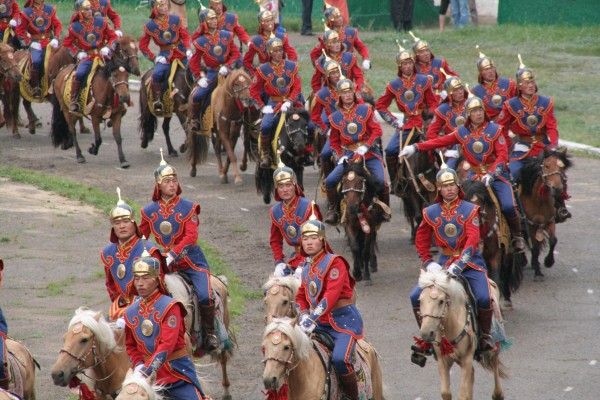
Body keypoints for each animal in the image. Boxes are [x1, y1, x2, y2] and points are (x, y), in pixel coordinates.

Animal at [420, 270, 508, 400]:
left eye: (441, 301)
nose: (426, 333)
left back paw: (498, 394)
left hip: (495, 341)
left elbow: (461, 395)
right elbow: (446, 393)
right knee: (472, 374)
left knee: (495, 361)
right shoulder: (443, 360)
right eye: (420, 301)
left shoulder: (467, 357)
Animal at [462, 180, 524, 310]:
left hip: (508, 253)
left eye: (480, 202)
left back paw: (506, 301)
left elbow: (496, 277)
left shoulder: (495, 254)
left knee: (506, 272)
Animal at [520, 147, 572, 282]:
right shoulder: (530, 225)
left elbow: (553, 240)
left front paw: (548, 261)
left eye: (562, 168)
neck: (539, 200)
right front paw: (538, 273)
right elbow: (534, 248)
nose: (557, 188)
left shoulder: (550, 221)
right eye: (547, 166)